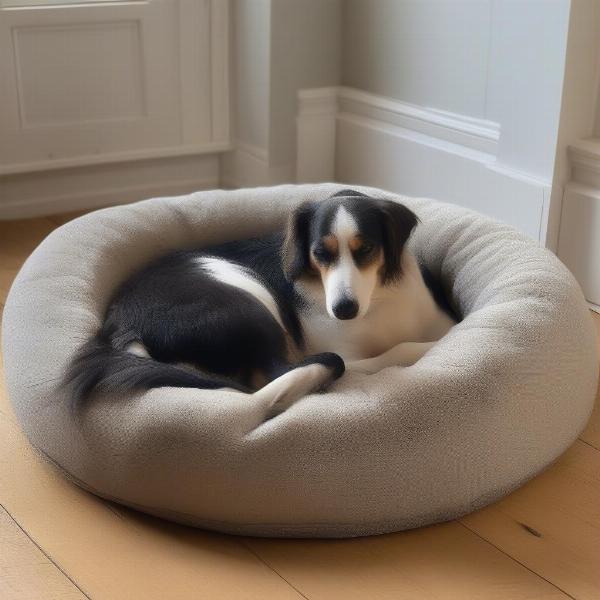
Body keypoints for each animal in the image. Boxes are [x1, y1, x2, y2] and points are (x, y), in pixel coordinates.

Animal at [67, 190, 454, 414]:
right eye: (319, 253)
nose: (344, 310)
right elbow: (398, 351)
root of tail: (121, 324)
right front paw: (423, 349)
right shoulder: (351, 355)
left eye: (367, 249)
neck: (380, 298)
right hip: (245, 297)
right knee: (270, 382)